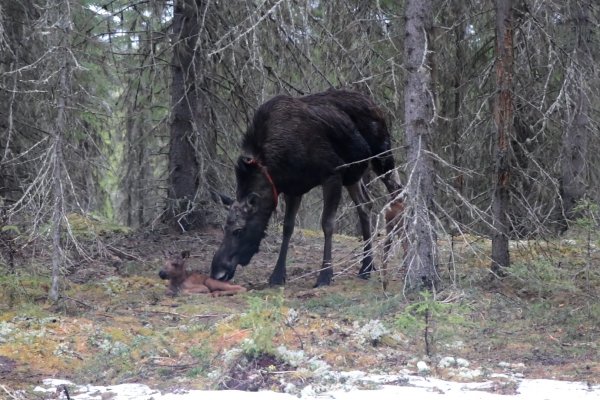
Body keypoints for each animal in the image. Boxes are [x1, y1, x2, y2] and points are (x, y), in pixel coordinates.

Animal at [211, 88, 404, 286]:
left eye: (238, 230)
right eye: (224, 228)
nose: (217, 272)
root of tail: (375, 106)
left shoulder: (332, 174)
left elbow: (327, 224)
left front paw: (325, 275)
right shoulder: (293, 188)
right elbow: (288, 227)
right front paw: (277, 275)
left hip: (382, 157)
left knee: (398, 194)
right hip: (353, 175)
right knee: (366, 204)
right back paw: (366, 266)